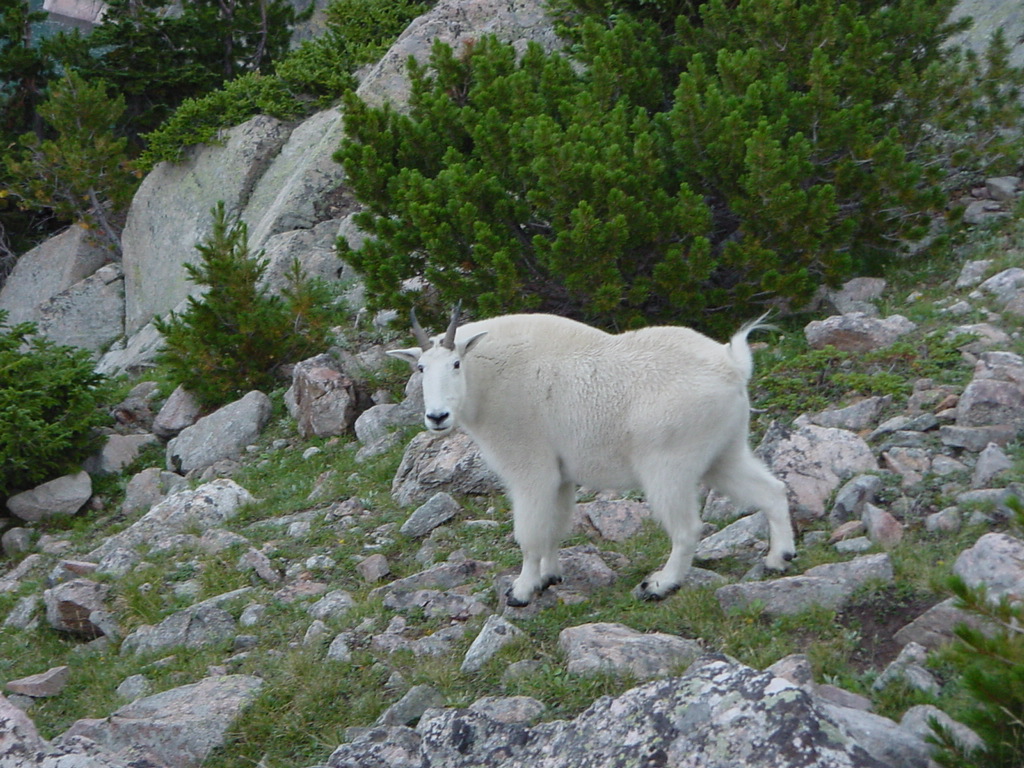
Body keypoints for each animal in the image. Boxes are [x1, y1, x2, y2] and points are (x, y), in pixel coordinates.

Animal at [387, 306, 795, 607]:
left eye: (455, 364)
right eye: (420, 368)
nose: (437, 417)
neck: (488, 379)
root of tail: (733, 368)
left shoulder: (529, 467)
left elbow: (530, 533)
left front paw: (521, 591)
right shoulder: (561, 475)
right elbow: (555, 526)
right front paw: (549, 576)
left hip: (668, 464)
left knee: (687, 529)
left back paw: (659, 585)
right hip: (724, 452)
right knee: (771, 491)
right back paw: (779, 558)